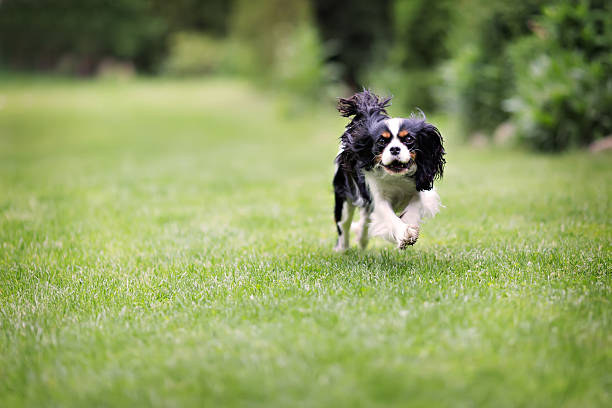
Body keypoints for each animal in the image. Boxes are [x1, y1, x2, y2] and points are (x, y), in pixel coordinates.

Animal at [332, 90, 448, 250]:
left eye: (409, 139)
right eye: (381, 141)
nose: (394, 148)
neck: (395, 177)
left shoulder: (420, 189)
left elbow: (415, 203)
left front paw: (409, 225)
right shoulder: (376, 197)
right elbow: (387, 215)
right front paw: (403, 233)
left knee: (364, 220)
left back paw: (362, 240)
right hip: (344, 199)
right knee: (343, 225)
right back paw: (342, 249)